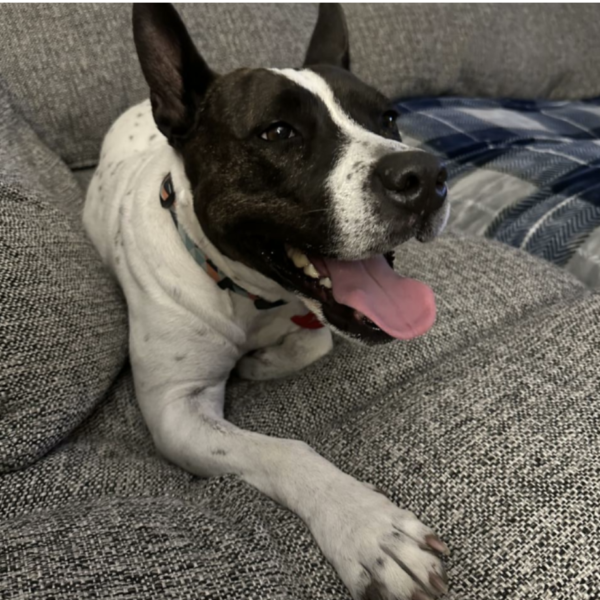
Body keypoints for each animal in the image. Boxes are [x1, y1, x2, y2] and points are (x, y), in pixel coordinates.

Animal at [84, 4, 450, 600]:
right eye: (278, 132)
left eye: (389, 118)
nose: (427, 175)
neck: (245, 291)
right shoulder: (177, 409)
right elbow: (284, 449)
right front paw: (368, 527)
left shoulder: (310, 318)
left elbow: (315, 342)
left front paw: (261, 363)